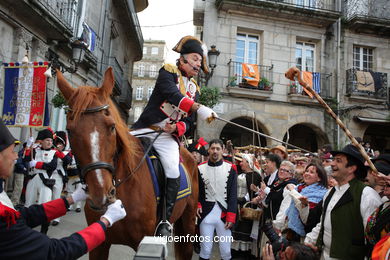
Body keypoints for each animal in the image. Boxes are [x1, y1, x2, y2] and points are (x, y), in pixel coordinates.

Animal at [56, 68, 200, 258]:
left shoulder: (145, 243)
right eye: (70, 131)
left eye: (111, 127)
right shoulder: (99, 245)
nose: (101, 194)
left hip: (188, 222)